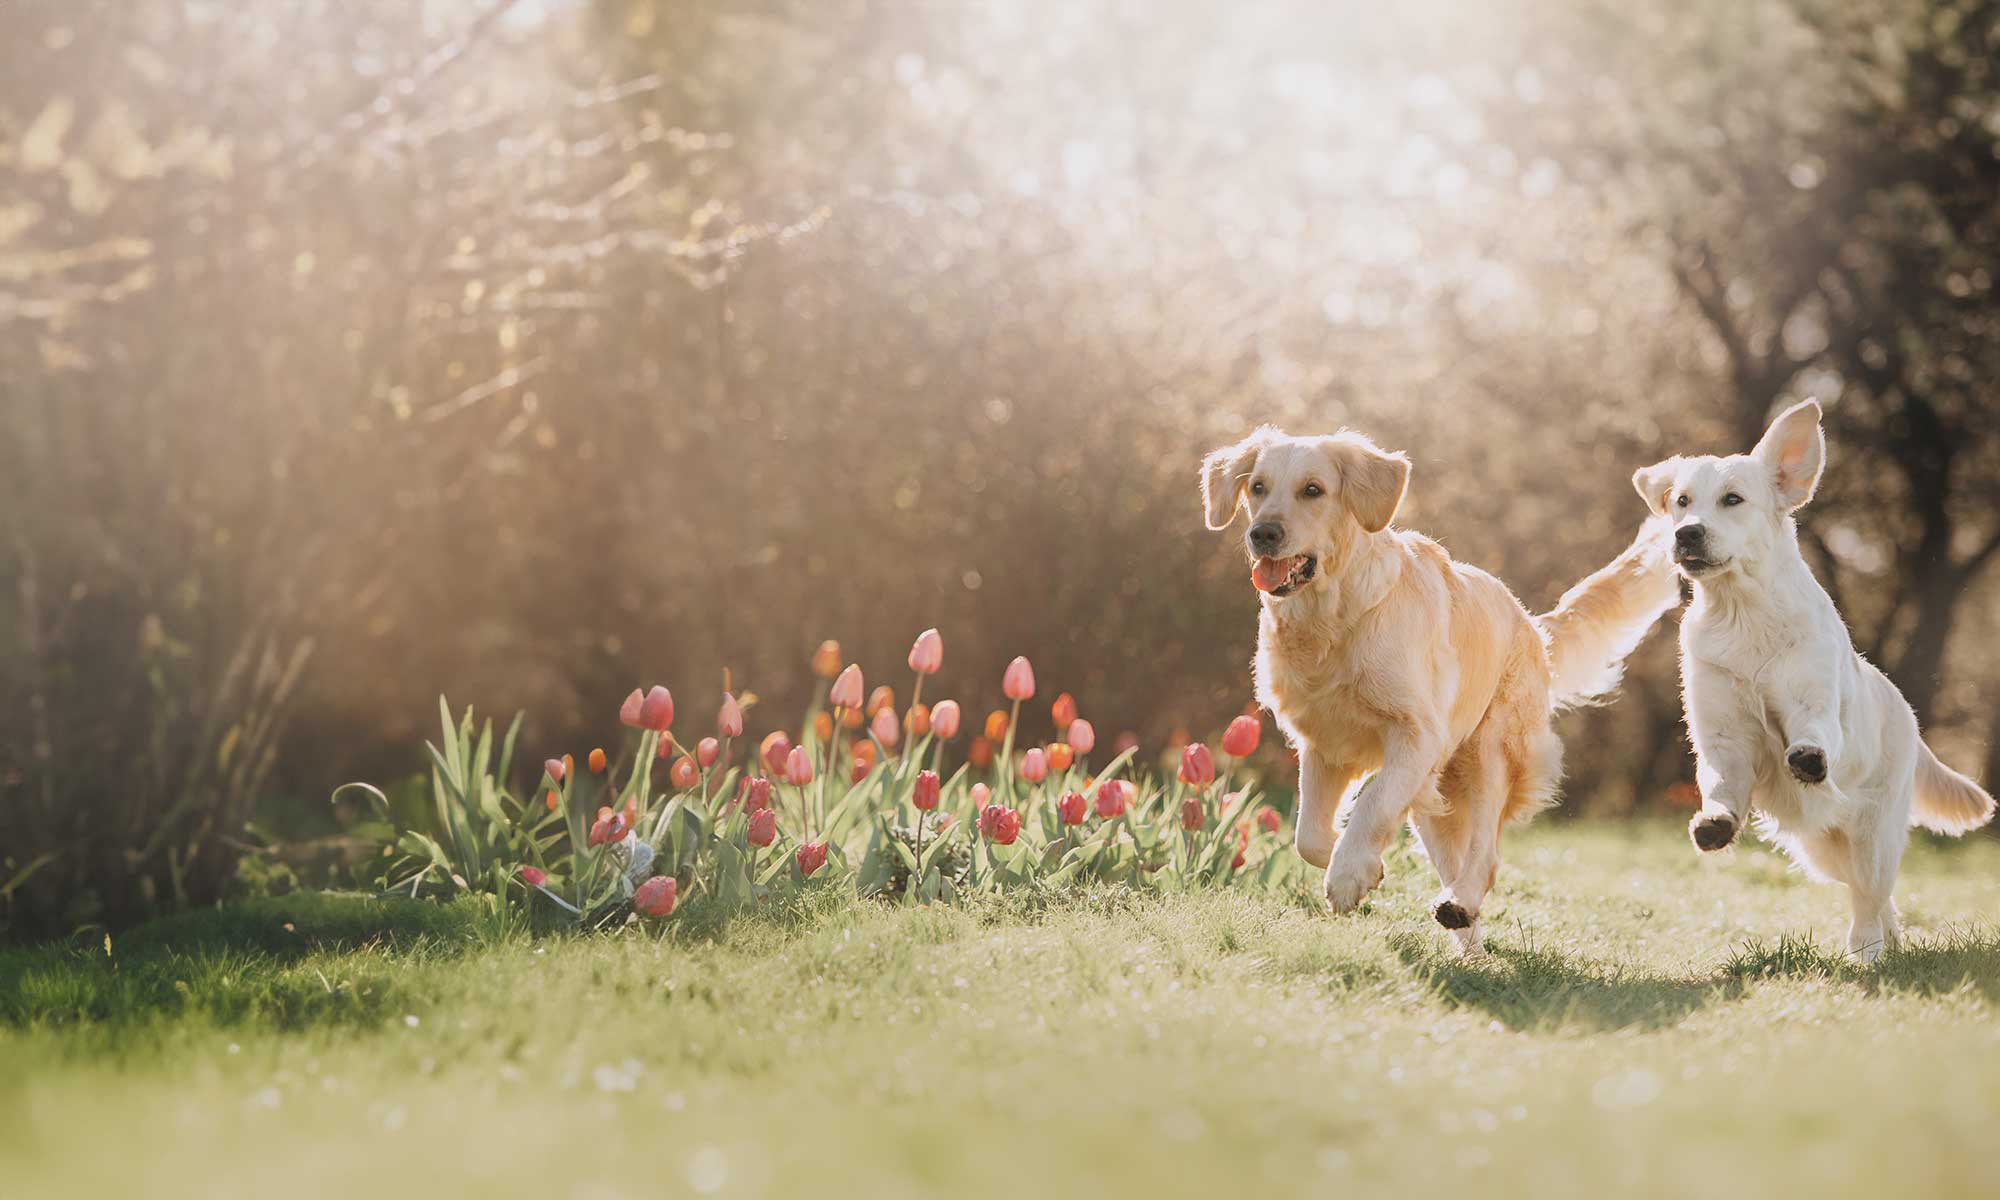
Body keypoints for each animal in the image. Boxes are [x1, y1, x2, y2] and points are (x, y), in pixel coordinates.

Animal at [1192, 426, 1680, 952]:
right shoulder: (1325, 746)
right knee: (1457, 863)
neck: (1335, 617)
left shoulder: (1417, 734)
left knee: (1486, 857)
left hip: (1490, 751)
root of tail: (1530, 622)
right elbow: (1310, 836)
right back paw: (1467, 941)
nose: (1263, 533)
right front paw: (1365, 868)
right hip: (1437, 800)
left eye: (1313, 490)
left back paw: (1459, 904)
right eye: (1258, 487)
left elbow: (1373, 802)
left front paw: (1349, 876)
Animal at [1632, 398, 1992, 960]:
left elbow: (1812, 733)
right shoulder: (1722, 735)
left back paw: (1868, 953)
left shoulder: (1812, 703)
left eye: (1732, 499)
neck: (1743, 614)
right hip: (1821, 848)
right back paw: (1890, 941)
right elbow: (1719, 780)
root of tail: (1907, 713)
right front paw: (1715, 823)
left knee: (1869, 896)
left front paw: (1806, 756)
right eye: (1682, 501)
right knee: (1877, 898)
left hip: (1872, 836)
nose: (1685, 533)